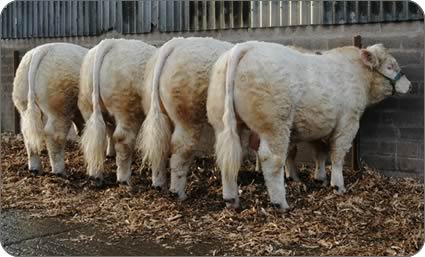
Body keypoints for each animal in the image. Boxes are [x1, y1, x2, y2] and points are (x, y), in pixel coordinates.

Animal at [12, 42, 87, 174]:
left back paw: (35, 169)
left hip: (22, 98)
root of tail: (40, 51)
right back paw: (60, 172)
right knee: (54, 134)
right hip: (60, 102)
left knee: (27, 133)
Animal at [78, 38, 155, 183]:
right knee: (123, 140)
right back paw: (124, 178)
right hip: (128, 109)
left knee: (93, 137)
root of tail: (112, 42)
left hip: (87, 103)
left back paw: (94, 173)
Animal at [138, 36, 232, 198]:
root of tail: (174, 44)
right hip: (188, 119)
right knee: (179, 151)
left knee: (159, 148)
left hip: (157, 112)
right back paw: (178, 193)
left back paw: (159, 185)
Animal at [208, 42, 410, 210]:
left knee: (230, 155)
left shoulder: (319, 125)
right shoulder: (348, 123)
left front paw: (320, 178)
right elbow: (337, 155)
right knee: (271, 158)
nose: (408, 84)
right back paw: (280, 203)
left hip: (225, 123)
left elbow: (320, 152)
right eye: (390, 66)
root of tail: (246, 47)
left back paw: (231, 199)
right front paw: (338, 185)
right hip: (275, 124)